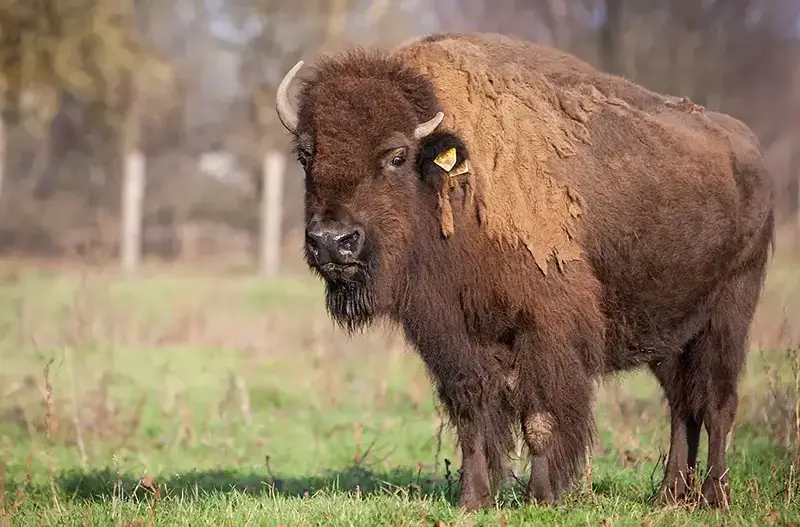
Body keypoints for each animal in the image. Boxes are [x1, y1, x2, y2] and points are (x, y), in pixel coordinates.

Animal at [275, 32, 775, 511]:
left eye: (396, 156)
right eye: (306, 155)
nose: (331, 241)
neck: (453, 187)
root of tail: (752, 152)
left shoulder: (547, 330)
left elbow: (540, 418)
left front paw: (542, 497)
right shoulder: (453, 336)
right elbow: (472, 416)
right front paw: (473, 500)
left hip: (729, 315)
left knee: (717, 403)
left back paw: (713, 497)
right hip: (669, 332)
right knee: (681, 405)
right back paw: (670, 494)